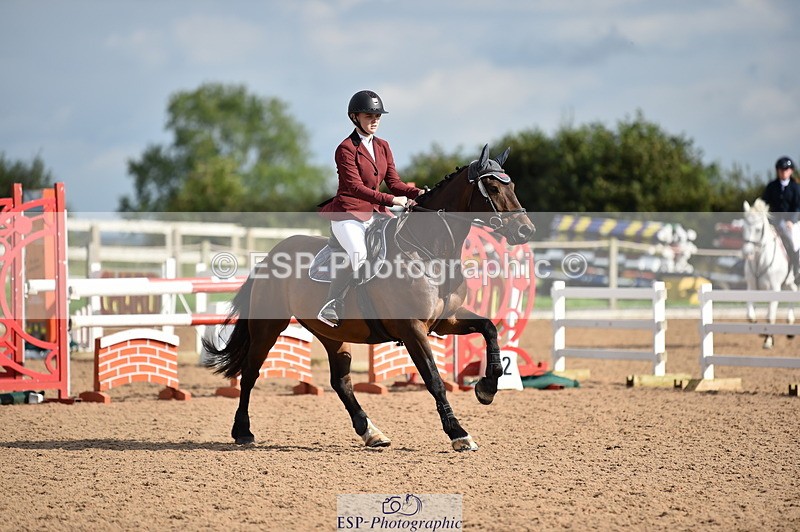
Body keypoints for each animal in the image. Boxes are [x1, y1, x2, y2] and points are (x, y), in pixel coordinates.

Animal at [203, 144, 535, 451]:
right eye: (493, 188)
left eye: (513, 187)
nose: (525, 231)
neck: (429, 254)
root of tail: (270, 255)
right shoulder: (412, 329)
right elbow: (434, 379)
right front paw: (458, 433)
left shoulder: (446, 321)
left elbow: (489, 329)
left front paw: (488, 387)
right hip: (267, 326)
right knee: (250, 373)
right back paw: (243, 432)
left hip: (331, 333)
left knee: (340, 382)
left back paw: (371, 432)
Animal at [741, 199, 797, 349]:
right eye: (743, 227)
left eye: (758, 229)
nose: (747, 252)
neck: (759, 259)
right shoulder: (751, 287)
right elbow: (750, 315)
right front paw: (759, 330)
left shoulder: (774, 288)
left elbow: (770, 316)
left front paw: (768, 341)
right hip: (789, 282)